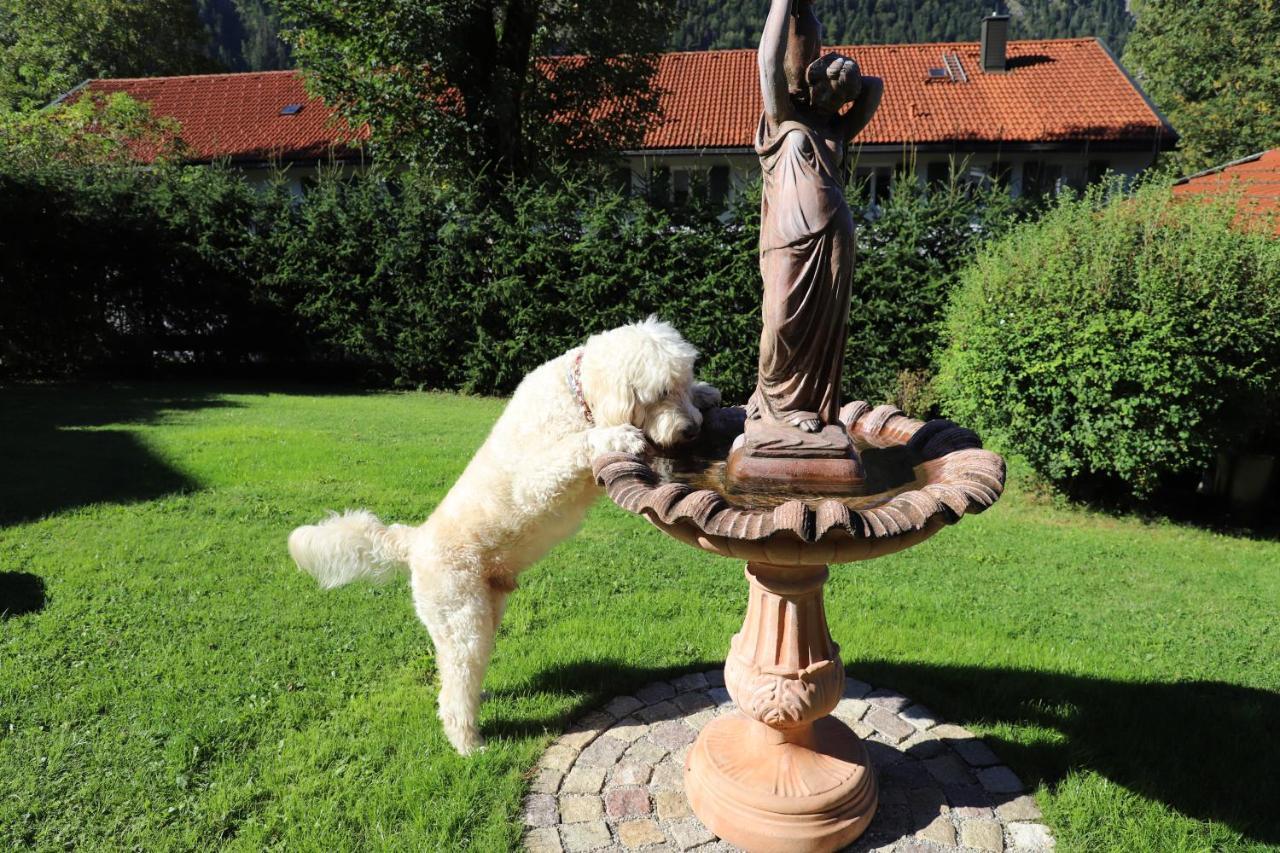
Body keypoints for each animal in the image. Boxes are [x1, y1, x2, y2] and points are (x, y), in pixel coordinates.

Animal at [291, 318, 727, 753]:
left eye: (684, 381)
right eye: (661, 393)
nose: (691, 429)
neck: (576, 399)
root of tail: (414, 542)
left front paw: (708, 392)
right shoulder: (537, 478)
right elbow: (577, 446)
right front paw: (615, 436)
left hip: (486, 612)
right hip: (461, 621)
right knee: (453, 690)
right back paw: (468, 744)